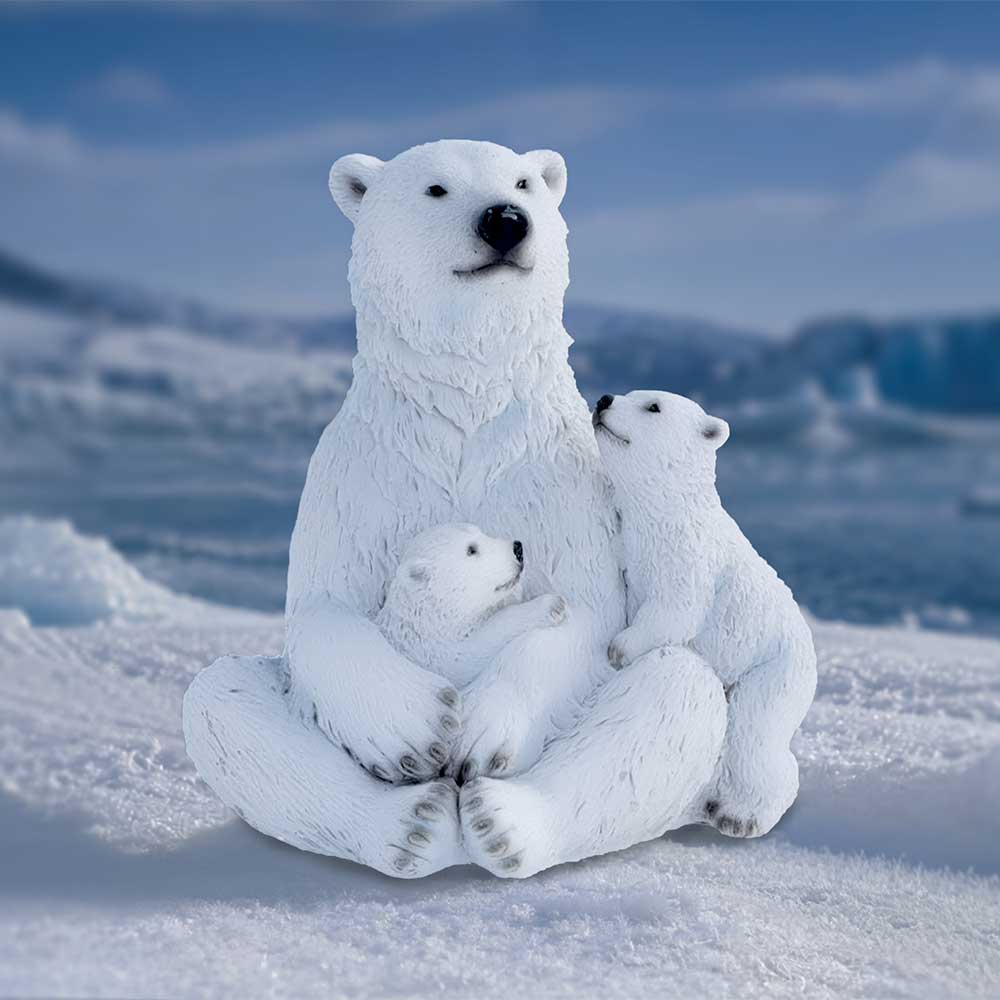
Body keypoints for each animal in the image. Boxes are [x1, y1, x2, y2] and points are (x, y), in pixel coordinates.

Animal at [375, 522, 568, 691]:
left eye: (482, 532)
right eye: (471, 550)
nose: (517, 548)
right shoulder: (437, 656)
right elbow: (476, 649)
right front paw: (553, 605)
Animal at [594, 389, 817, 837]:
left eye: (653, 406)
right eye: (628, 393)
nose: (604, 398)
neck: (668, 515)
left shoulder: (689, 558)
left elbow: (675, 610)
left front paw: (620, 649)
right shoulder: (630, 546)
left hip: (773, 670)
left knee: (754, 733)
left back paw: (741, 815)